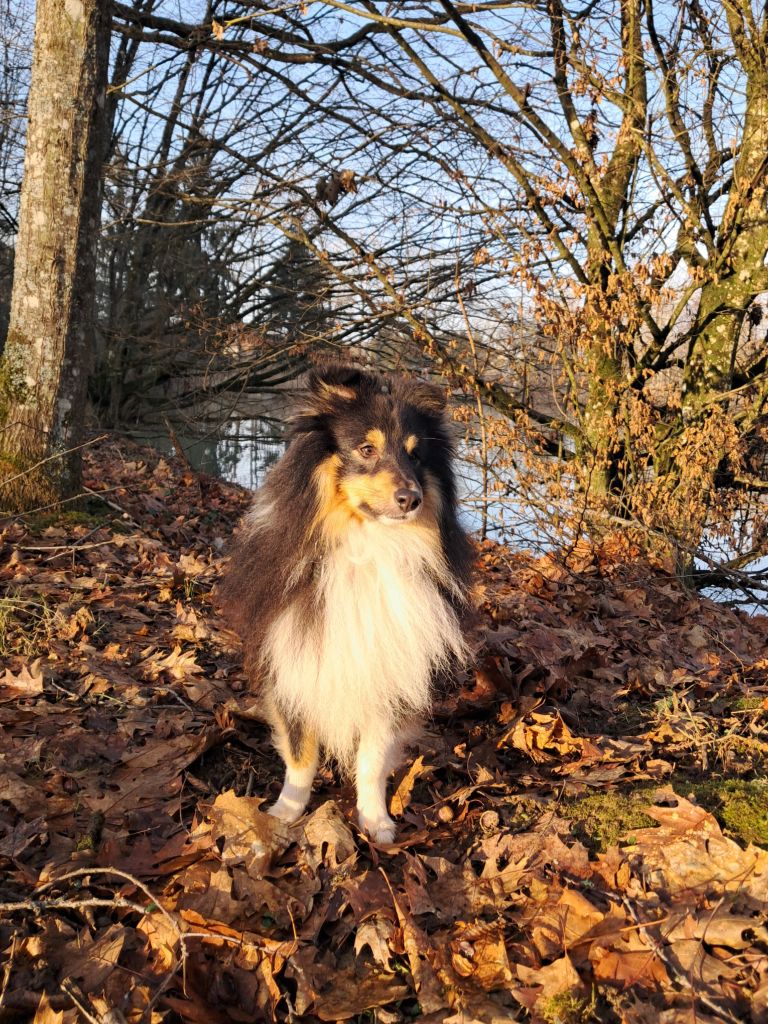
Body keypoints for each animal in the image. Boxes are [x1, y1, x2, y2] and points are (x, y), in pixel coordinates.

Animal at [219, 364, 475, 843]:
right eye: (366, 449)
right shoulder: (293, 664)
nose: (410, 499)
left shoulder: (388, 673)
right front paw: (285, 812)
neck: (365, 548)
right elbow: (300, 754)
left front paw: (376, 822)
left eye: (415, 455)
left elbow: (372, 760)